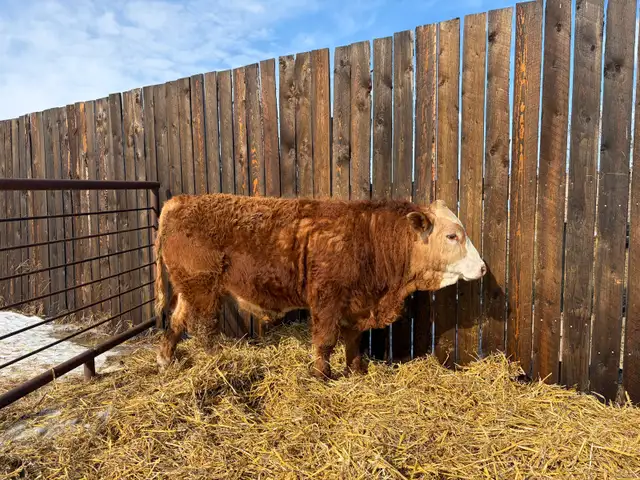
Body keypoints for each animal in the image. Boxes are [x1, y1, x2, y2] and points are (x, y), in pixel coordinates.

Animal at [153, 193, 486, 379]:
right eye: (452, 236)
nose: (483, 267)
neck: (370, 239)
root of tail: (179, 202)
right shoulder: (327, 300)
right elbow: (325, 342)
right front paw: (322, 376)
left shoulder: (356, 305)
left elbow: (354, 340)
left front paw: (356, 372)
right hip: (203, 289)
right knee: (204, 330)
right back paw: (218, 363)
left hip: (190, 290)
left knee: (177, 322)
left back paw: (166, 360)